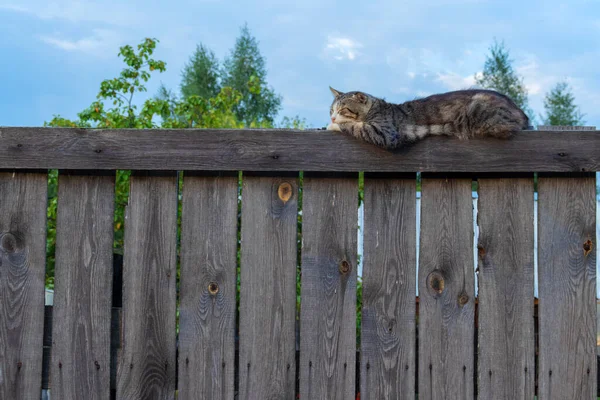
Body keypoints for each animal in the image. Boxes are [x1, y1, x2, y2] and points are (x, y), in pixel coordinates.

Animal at [326, 86, 528, 149]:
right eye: (331, 110)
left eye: (343, 110)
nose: (333, 118)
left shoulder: (385, 133)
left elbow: (354, 126)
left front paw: (333, 126)